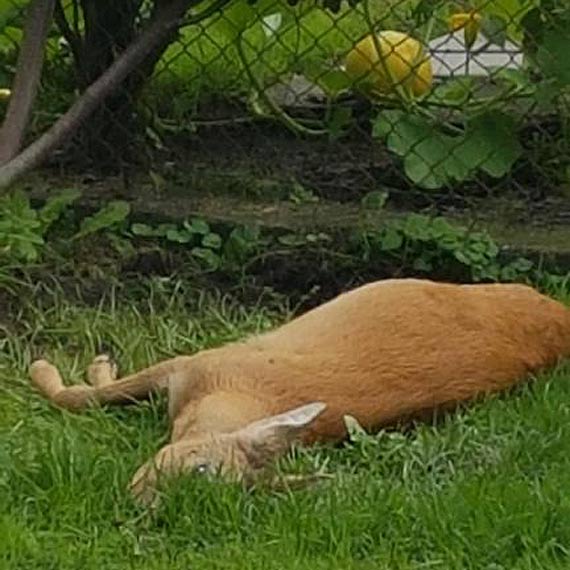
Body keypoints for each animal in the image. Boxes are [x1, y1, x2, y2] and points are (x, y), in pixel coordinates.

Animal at [28, 278, 568, 500]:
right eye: (199, 466)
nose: (143, 503)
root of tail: (560, 314)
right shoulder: (199, 361)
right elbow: (86, 396)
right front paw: (51, 367)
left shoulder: (200, 367)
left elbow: (84, 397)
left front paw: (63, 367)